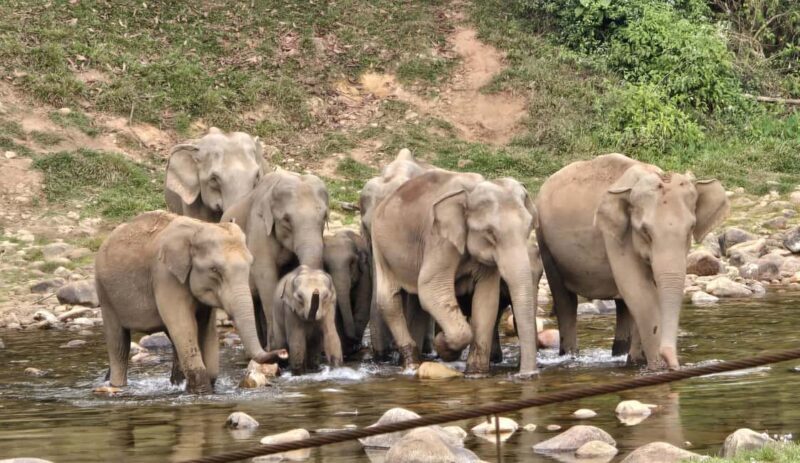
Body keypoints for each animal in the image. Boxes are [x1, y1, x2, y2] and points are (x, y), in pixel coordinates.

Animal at [95, 211, 285, 394]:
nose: (282, 352)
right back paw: (117, 385)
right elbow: (183, 325)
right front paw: (201, 391)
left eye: (250, 264)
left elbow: (206, 329)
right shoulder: (164, 276)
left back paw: (175, 383)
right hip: (105, 294)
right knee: (118, 342)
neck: (197, 228)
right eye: (214, 269)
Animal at [371, 170, 540, 377]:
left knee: (416, 302)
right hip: (379, 245)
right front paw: (443, 344)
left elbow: (487, 301)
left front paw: (476, 373)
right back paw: (411, 364)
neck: (470, 191)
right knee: (388, 300)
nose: (526, 374)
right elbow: (430, 289)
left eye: (529, 228)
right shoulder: (439, 239)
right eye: (490, 233)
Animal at [536, 153, 729, 370]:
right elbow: (639, 290)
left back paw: (621, 355)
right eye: (645, 231)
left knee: (622, 305)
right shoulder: (614, 235)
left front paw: (641, 362)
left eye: (691, 228)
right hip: (546, 242)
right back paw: (570, 356)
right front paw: (657, 367)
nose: (672, 362)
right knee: (565, 300)